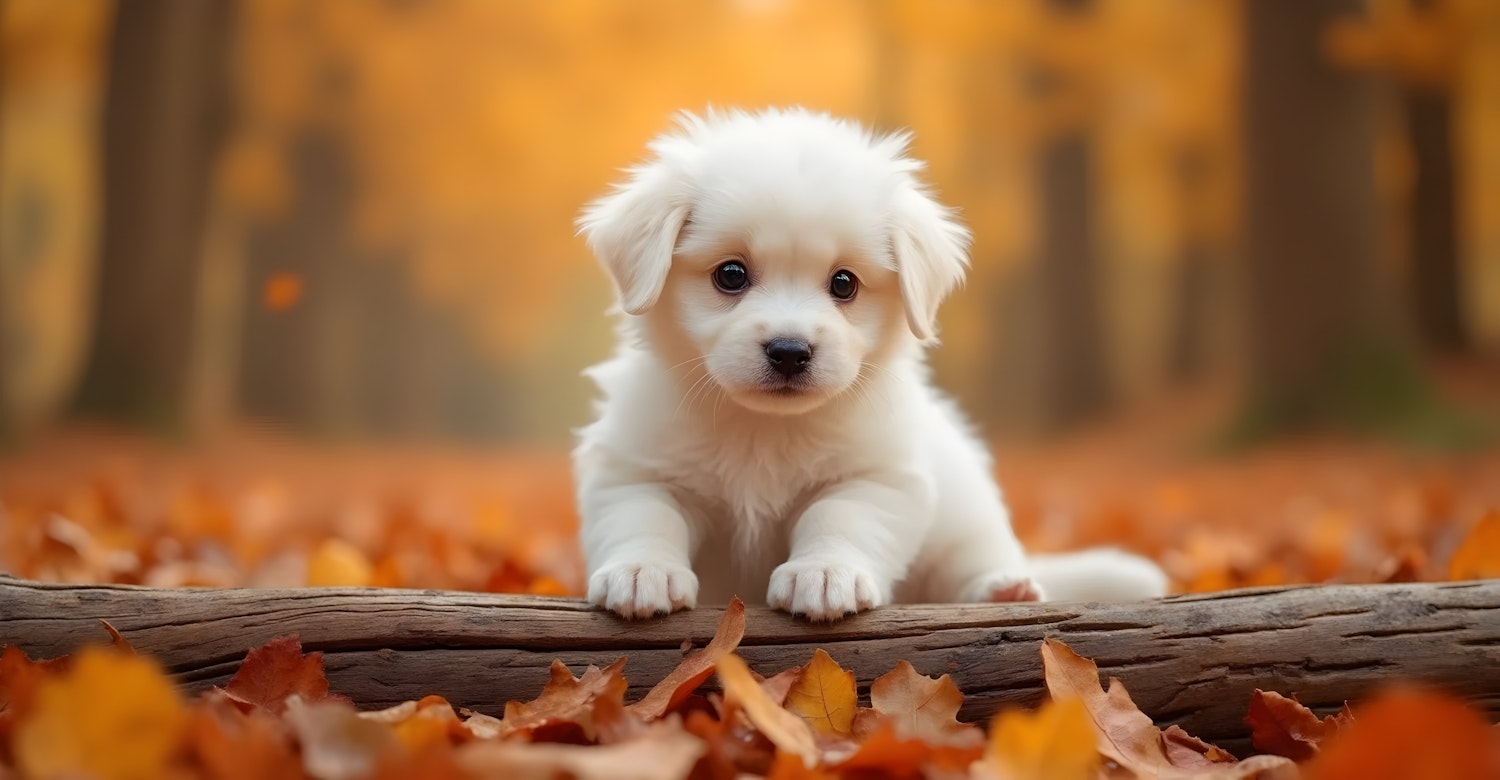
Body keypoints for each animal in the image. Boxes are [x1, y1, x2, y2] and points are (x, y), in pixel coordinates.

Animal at [567, 109, 1164, 621]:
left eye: (844, 283)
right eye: (730, 275)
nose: (789, 351)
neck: (763, 432)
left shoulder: (876, 476)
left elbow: (836, 517)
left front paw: (825, 573)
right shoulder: (634, 470)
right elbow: (646, 516)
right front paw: (641, 571)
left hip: (966, 516)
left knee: (967, 565)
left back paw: (1003, 589)